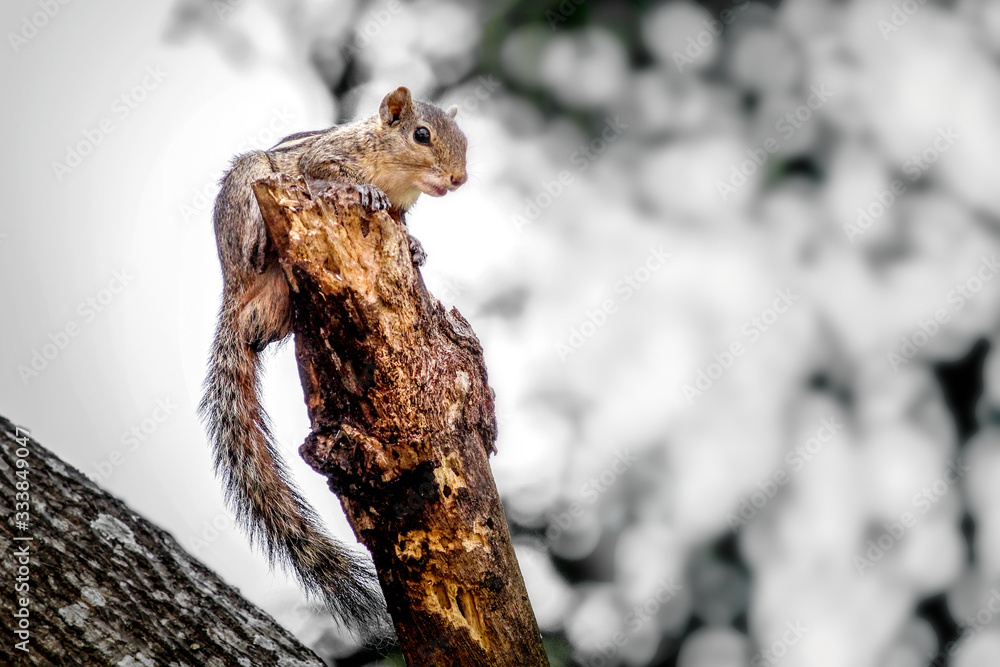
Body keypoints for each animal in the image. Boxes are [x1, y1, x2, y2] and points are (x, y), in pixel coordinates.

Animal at [199, 86, 468, 636]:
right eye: (421, 134)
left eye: (464, 140)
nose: (459, 179)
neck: (394, 176)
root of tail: (234, 293)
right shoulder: (323, 158)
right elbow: (326, 175)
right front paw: (364, 194)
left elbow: (403, 228)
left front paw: (414, 246)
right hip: (247, 193)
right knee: (252, 241)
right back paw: (260, 243)